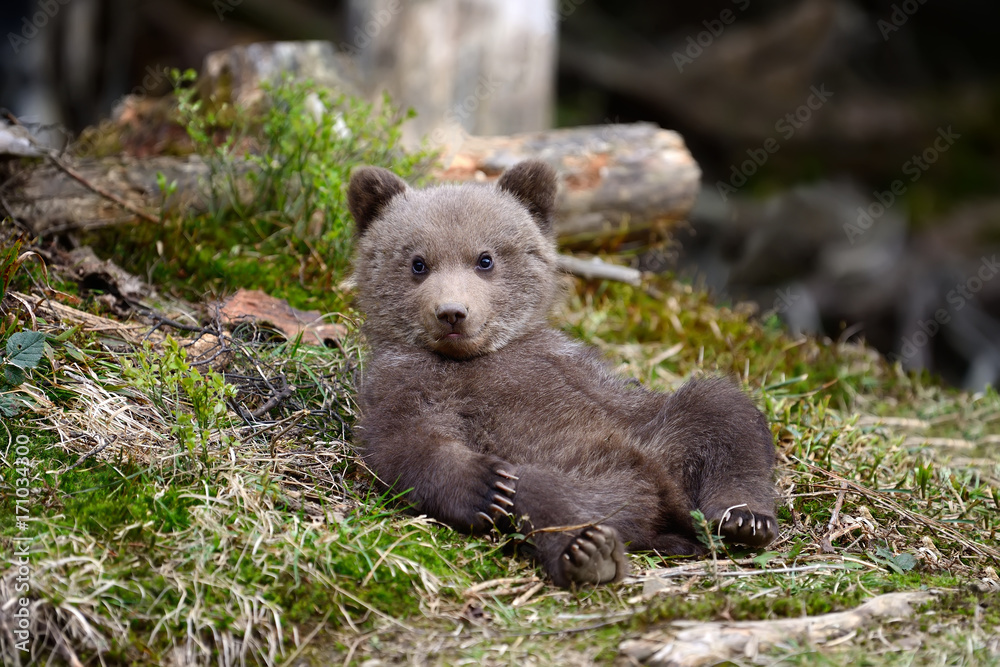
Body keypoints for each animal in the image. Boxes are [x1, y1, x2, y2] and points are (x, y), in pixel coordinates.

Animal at [347, 160, 777, 588]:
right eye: (418, 263)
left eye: (485, 259)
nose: (452, 312)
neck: (471, 358)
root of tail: (667, 504)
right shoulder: (405, 383)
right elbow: (406, 444)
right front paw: (484, 485)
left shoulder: (568, 363)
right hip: (578, 475)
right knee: (539, 491)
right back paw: (589, 550)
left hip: (661, 439)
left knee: (721, 411)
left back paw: (745, 518)